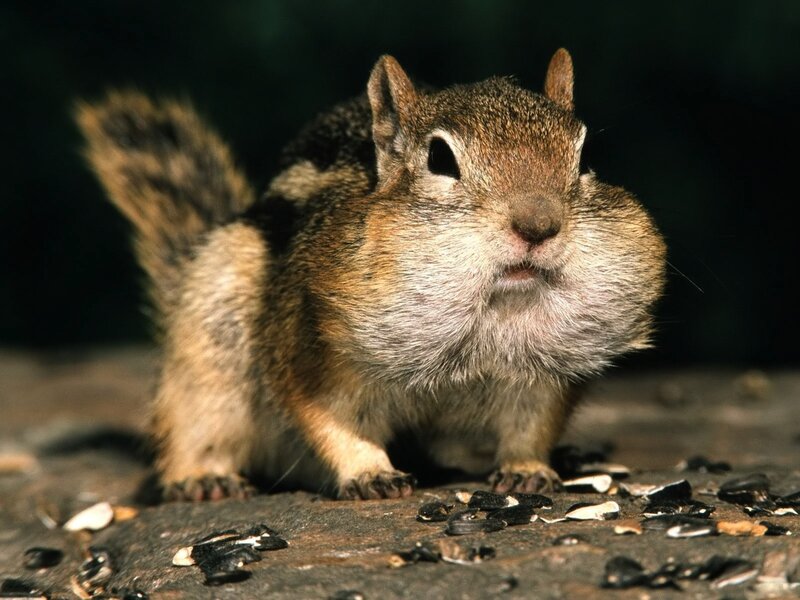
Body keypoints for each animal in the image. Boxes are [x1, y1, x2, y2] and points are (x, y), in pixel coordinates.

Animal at [76, 49, 666, 501]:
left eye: (584, 157)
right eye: (440, 159)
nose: (538, 226)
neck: (493, 308)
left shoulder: (543, 377)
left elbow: (532, 424)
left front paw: (528, 469)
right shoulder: (311, 352)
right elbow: (331, 418)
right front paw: (369, 473)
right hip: (207, 349)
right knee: (192, 425)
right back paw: (203, 478)